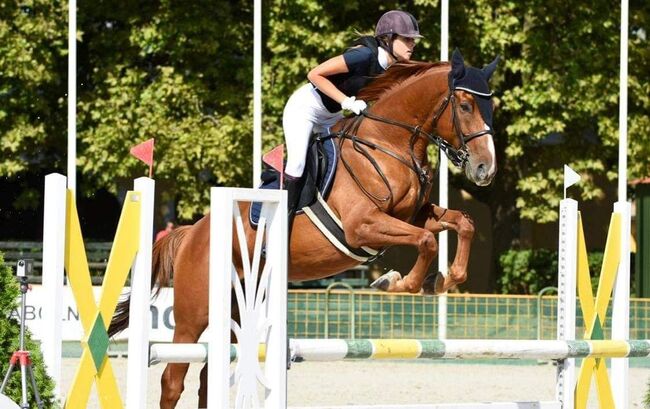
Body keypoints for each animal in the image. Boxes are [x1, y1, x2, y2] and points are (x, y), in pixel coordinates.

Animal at [110, 49, 496, 406]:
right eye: (465, 106)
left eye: (489, 106)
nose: (485, 169)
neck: (389, 143)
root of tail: (192, 233)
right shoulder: (363, 227)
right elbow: (427, 240)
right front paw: (400, 283)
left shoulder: (410, 216)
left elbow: (463, 223)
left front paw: (444, 279)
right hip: (194, 314)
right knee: (173, 380)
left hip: (238, 311)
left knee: (207, 379)